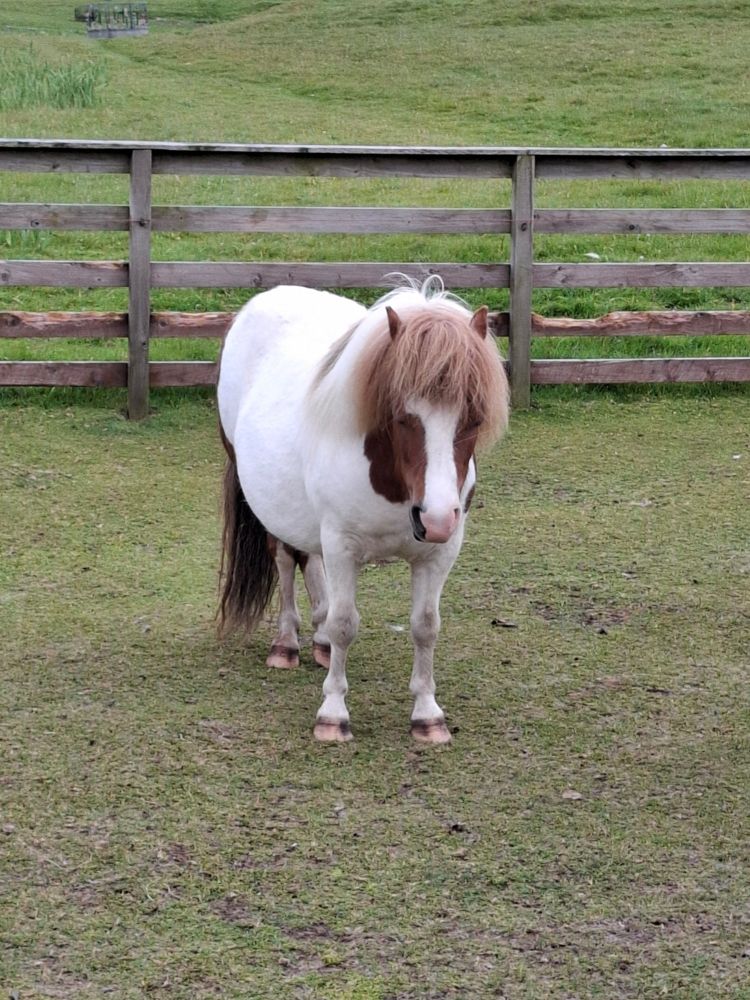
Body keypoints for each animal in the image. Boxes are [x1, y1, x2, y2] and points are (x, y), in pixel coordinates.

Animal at [216, 277, 509, 743]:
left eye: (475, 416)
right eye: (403, 416)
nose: (436, 519)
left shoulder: (440, 553)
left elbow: (425, 625)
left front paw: (428, 715)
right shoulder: (343, 545)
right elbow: (344, 623)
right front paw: (333, 713)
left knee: (309, 559)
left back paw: (318, 642)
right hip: (271, 511)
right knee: (286, 559)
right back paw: (286, 643)